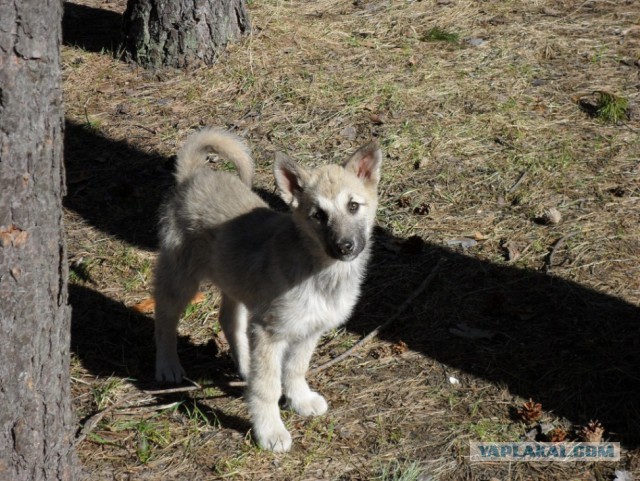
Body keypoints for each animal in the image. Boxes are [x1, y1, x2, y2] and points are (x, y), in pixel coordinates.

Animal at [154, 127, 384, 450]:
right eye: (318, 215)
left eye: (353, 206)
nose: (345, 247)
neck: (318, 270)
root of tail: (193, 176)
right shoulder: (269, 332)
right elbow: (267, 388)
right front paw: (270, 431)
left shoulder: (307, 331)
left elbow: (295, 369)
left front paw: (300, 401)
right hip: (181, 277)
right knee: (164, 316)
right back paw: (167, 365)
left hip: (235, 283)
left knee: (229, 320)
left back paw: (245, 367)